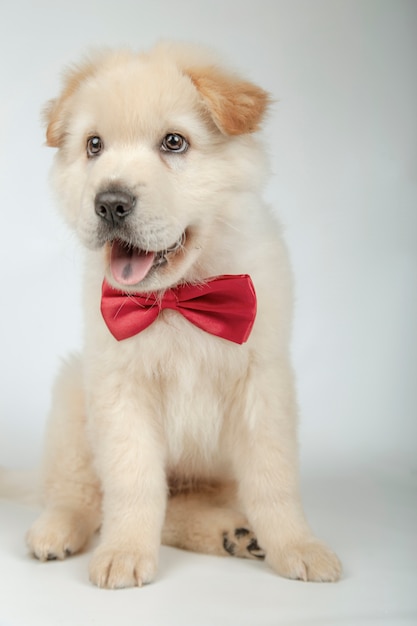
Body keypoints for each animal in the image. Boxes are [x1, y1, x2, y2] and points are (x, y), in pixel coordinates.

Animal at [26, 42, 340, 584]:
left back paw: (236, 534)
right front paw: (124, 552)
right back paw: (56, 530)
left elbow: (273, 479)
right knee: (80, 492)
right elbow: (132, 483)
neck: (178, 298)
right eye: (93, 146)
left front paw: (299, 546)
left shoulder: (263, 384)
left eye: (174, 142)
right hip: (71, 400)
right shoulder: (120, 389)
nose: (109, 203)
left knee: (183, 506)